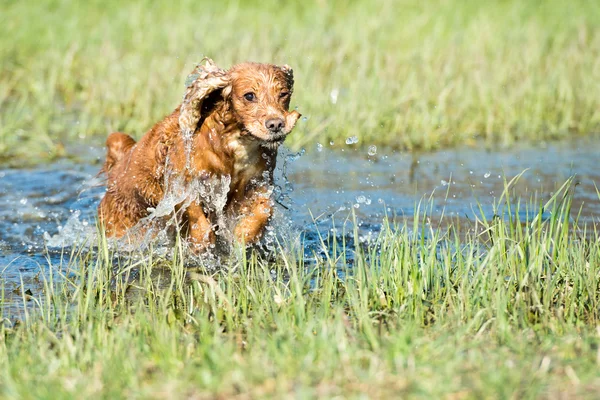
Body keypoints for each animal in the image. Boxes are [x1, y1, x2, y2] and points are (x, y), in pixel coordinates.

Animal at [99, 57, 304, 252]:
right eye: (249, 96)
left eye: (283, 94)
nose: (276, 124)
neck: (233, 142)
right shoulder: (183, 184)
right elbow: (196, 216)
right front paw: (201, 243)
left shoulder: (258, 182)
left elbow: (263, 209)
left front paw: (244, 236)